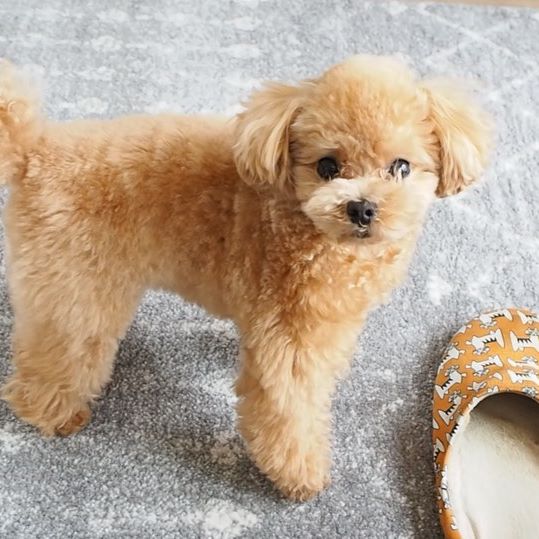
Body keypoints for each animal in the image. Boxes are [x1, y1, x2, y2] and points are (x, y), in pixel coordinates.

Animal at [0, 55, 491, 500]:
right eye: (327, 166)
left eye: (401, 167)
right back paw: (53, 414)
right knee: (55, 355)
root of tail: (33, 151)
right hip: (75, 289)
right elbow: (289, 410)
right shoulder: (289, 341)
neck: (302, 225)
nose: (362, 208)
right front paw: (300, 476)